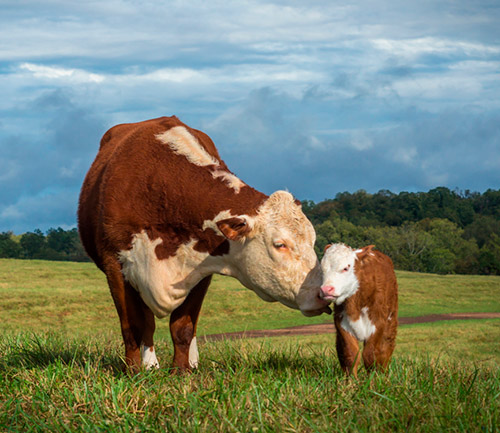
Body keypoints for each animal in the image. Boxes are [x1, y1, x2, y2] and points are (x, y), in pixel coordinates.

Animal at [77, 116, 332, 372]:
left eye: (313, 241)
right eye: (280, 244)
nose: (321, 293)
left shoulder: (200, 269)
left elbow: (183, 327)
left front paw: (181, 371)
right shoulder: (115, 265)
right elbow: (134, 326)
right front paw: (134, 371)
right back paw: (150, 365)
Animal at [320, 243, 398, 374]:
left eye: (346, 268)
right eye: (322, 269)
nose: (326, 289)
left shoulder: (378, 322)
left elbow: (370, 355)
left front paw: (374, 378)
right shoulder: (341, 322)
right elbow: (350, 354)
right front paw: (351, 379)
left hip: (390, 322)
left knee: (385, 350)